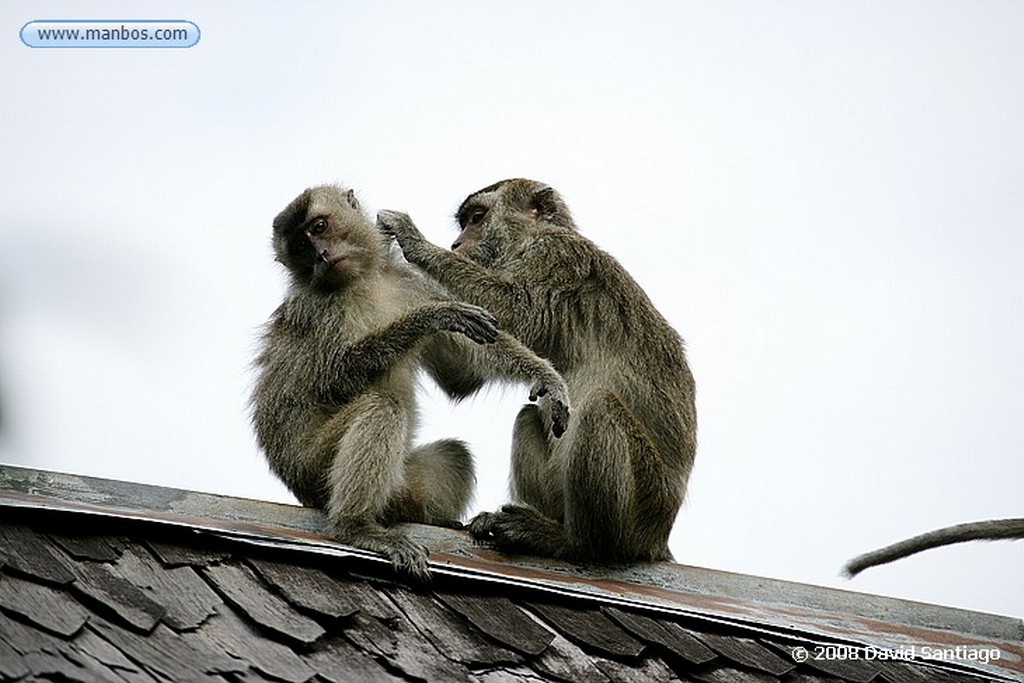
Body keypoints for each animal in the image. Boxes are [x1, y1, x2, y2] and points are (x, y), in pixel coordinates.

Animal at [247, 187, 569, 581]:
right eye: (299, 247)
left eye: (319, 228)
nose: (320, 254)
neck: (364, 279)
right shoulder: (316, 310)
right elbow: (330, 382)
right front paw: (432, 316)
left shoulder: (408, 282)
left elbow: (460, 376)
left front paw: (545, 374)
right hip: (312, 467)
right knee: (381, 408)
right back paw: (356, 526)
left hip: (400, 485)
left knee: (453, 453)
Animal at [380, 179, 700, 565]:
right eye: (465, 222)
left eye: (477, 217)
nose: (456, 245)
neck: (531, 239)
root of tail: (659, 539)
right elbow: (465, 374)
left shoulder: (558, 256)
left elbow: (517, 310)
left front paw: (414, 242)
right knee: (529, 415)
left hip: (645, 508)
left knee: (599, 407)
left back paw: (575, 543)